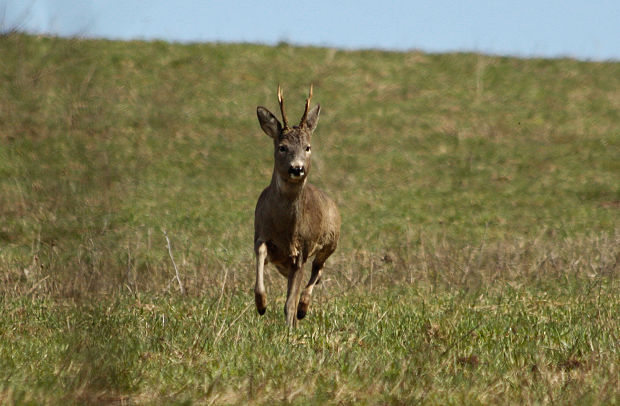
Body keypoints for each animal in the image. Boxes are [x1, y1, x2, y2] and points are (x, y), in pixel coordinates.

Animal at [253, 85, 342, 326]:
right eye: (282, 147)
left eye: (308, 147)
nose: (297, 168)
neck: (285, 230)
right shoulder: (260, 236)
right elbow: (260, 256)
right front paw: (261, 304)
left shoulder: (301, 251)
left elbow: (289, 302)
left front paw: (290, 326)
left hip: (330, 243)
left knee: (318, 271)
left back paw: (303, 308)